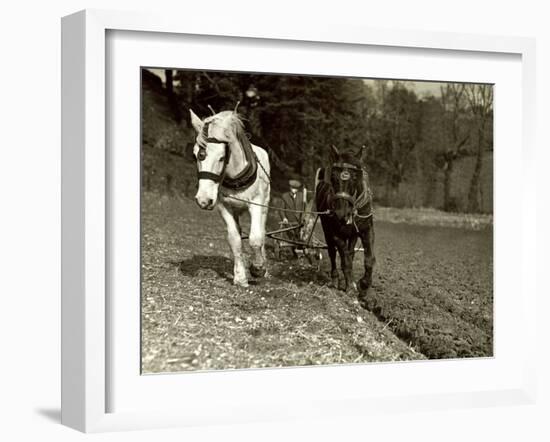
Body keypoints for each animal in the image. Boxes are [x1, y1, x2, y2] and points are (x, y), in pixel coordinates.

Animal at [191, 108, 272, 284]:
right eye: (195, 155)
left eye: (222, 157)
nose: (203, 200)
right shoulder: (224, 207)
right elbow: (235, 240)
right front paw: (240, 277)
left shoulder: (256, 204)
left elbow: (255, 238)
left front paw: (258, 268)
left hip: (265, 205)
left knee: (262, 231)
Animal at [316, 145, 378, 300]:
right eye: (333, 176)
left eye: (355, 177)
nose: (340, 213)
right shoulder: (335, 233)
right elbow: (345, 261)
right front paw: (350, 287)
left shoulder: (367, 230)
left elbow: (368, 259)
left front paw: (363, 285)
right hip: (327, 230)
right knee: (332, 253)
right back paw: (335, 279)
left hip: (352, 234)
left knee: (351, 252)